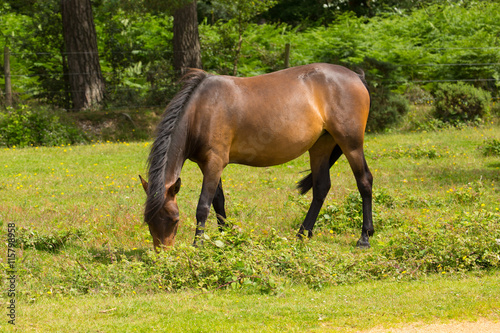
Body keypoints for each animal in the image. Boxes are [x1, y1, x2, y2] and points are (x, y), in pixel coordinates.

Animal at [139, 63, 374, 249]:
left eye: (174, 219)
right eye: (149, 222)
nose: (163, 253)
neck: (201, 110)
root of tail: (357, 77)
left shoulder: (214, 163)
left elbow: (203, 206)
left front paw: (198, 245)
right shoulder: (209, 165)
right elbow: (219, 202)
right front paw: (226, 238)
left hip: (351, 144)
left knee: (364, 182)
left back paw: (364, 237)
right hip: (320, 147)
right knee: (321, 188)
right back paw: (302, 234)